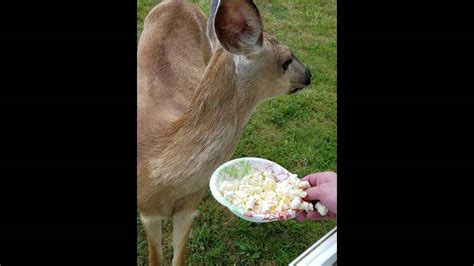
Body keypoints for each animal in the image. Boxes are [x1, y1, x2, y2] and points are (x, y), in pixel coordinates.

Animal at [137, 0, 312, 264]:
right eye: (286, 60)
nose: (309, 75)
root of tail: (176, 3)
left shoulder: (189, 206)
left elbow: (179, 257)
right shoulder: (147, 213)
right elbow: (155, 257)